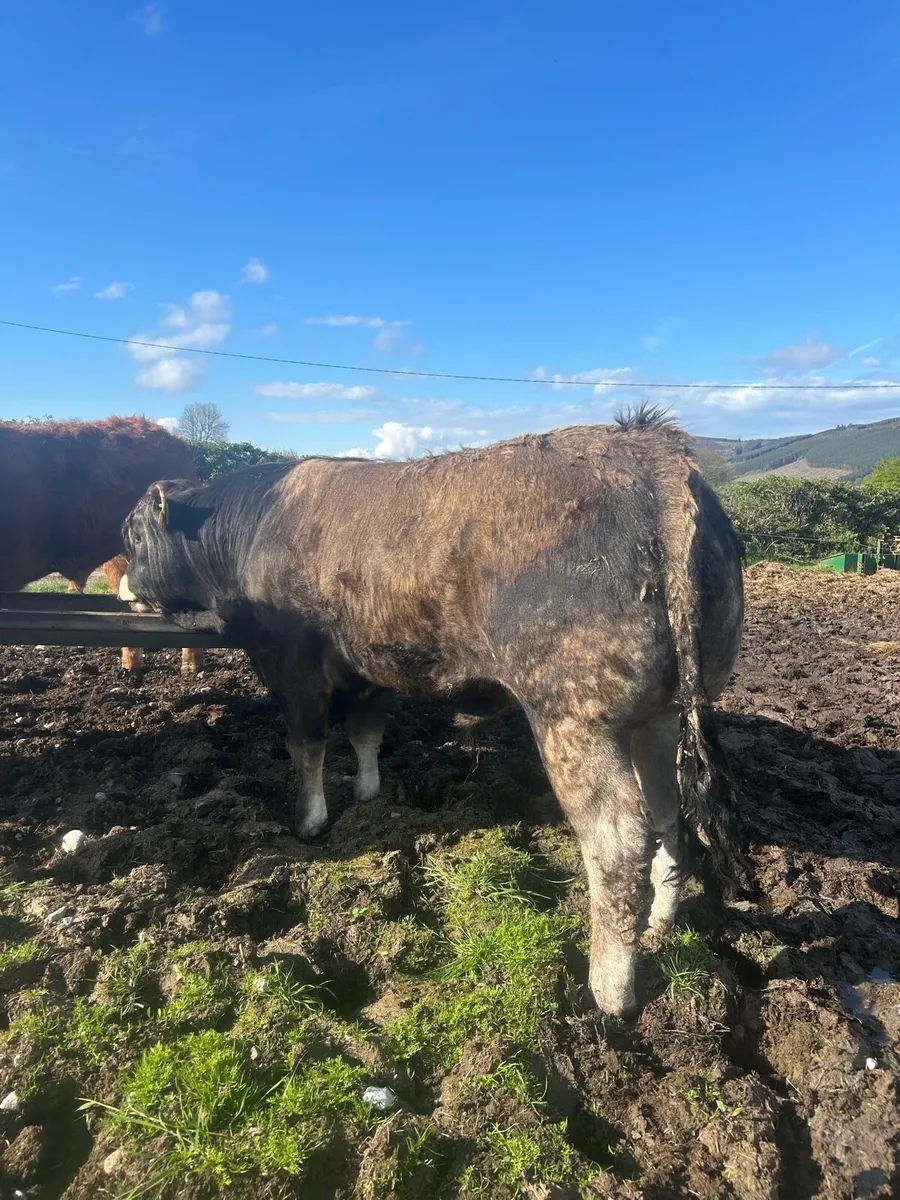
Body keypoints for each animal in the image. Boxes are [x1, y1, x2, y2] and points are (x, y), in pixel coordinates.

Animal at [118, 410, 753, 1016]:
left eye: (133, 533)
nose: (123, 580)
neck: (253, 526)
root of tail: (652, 454)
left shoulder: (291, 667)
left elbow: (307, 747)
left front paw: (310, 821)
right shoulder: (370, 665)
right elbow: (366, 734)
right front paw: (369, 795)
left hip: (573, 719)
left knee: (619, 844)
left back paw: (610, 988)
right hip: (658, 716)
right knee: (668, 813)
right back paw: (661, 922)